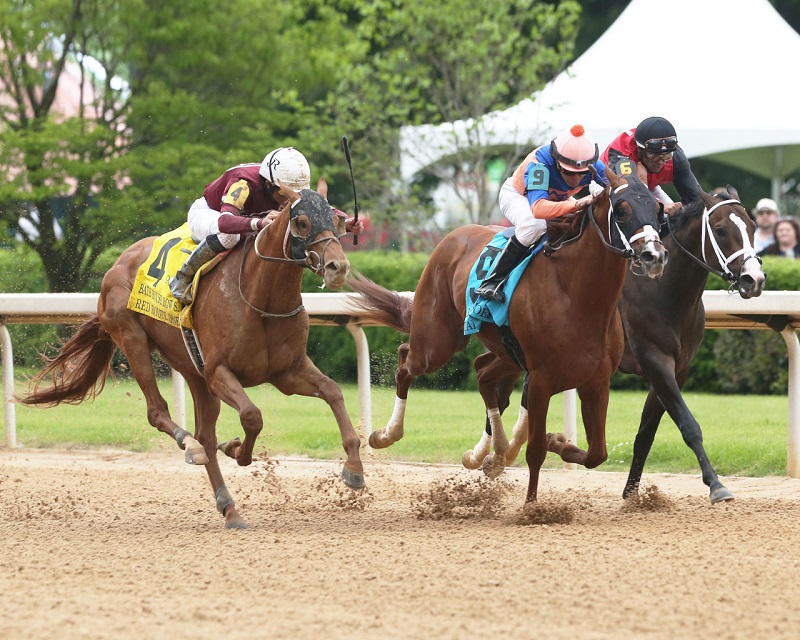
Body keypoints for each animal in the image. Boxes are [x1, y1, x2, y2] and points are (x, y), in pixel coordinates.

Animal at [17, 179, 364, 524]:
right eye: (302, 222)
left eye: (335, 220)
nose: (338, 267)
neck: (260, 298)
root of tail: (118, 262)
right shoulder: (218, 372)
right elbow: (252, 416)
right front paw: (237, 450)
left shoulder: (287, 372)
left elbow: (333, 392)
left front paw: (354, 469)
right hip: (132, 338)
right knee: (160, 413)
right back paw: (190, 445)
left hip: (191, 369)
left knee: (206, 436)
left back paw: (228, 506)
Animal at [350, 166, 668, 504]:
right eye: (621, 209)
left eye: (657, 209)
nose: (654, 256)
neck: (578, 297)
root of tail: (453, 236)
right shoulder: (541, 380)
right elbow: (536, 451)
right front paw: (531, 506)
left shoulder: (596, 381)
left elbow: (598, 453)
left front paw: (556, 442)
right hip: (437, 344)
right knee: (405, 361)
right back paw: (385, 435)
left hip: (505, 353)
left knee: (481, 372)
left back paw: (490, 452)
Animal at [466, 185, 764, 504]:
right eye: (720, 230)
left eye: (752, 226)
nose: (754, 279)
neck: (663, 290)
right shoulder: (655, 361)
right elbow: (688, 424)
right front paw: (716, 484)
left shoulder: (677, 368)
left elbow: (646, 434)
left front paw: (631, 492)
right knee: (499, 388)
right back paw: (491, 454)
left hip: (514, 352)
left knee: (487, 372)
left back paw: (493, 455)